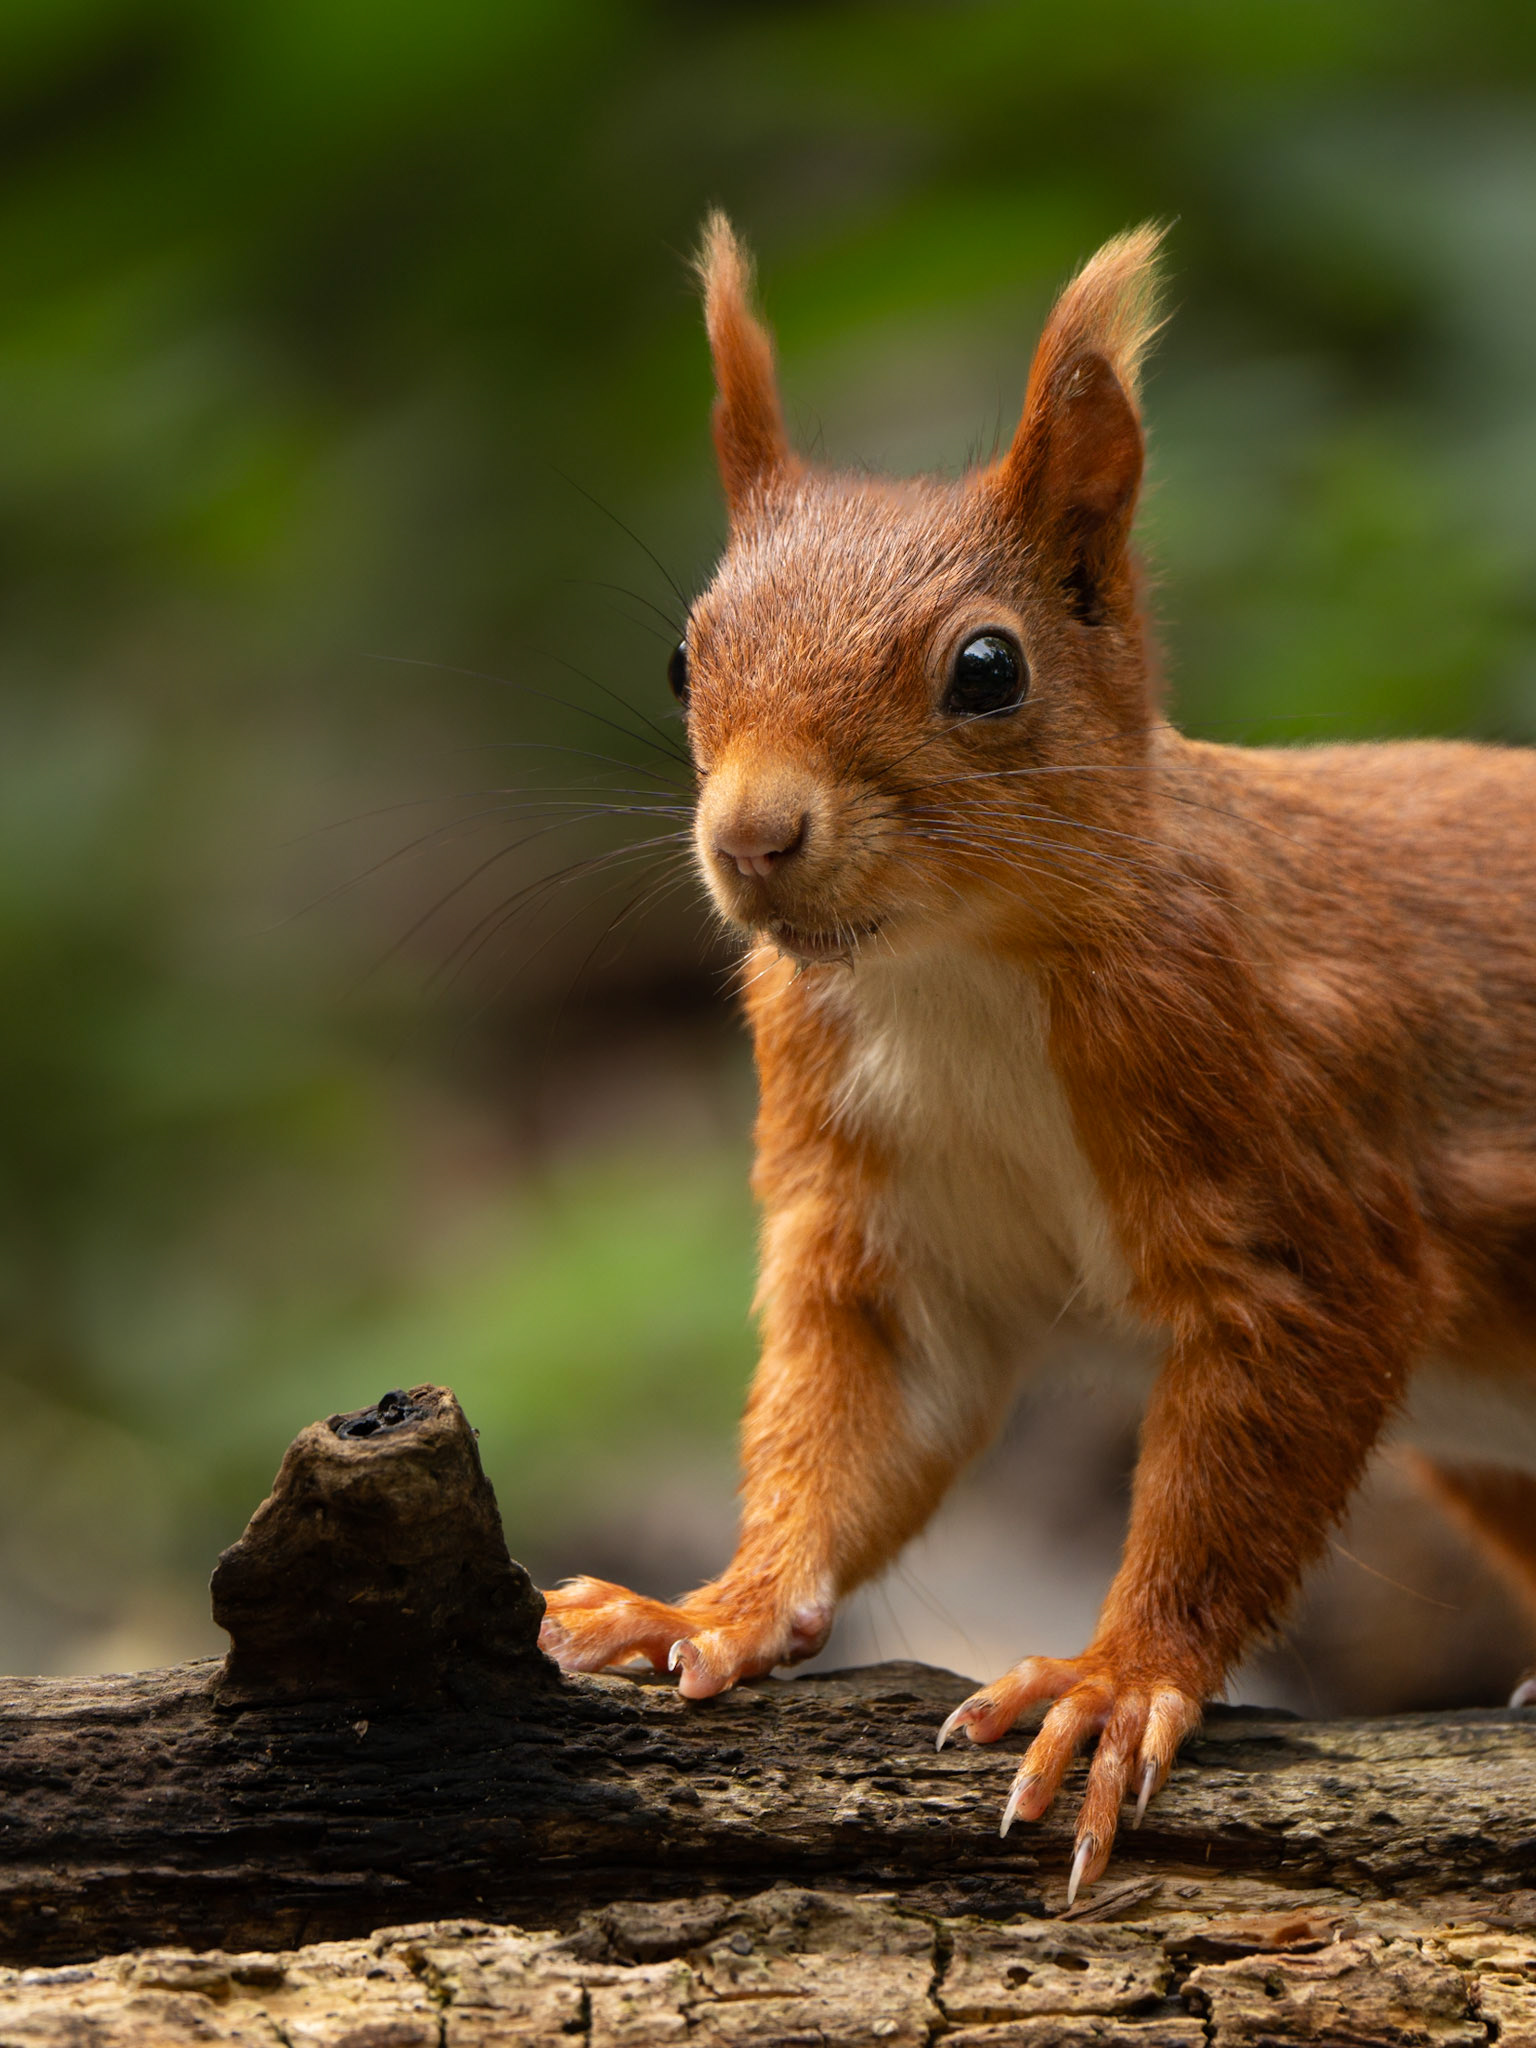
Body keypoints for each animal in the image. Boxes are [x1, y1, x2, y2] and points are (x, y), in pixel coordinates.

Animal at [539, 215, 1536, 1900]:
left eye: (988, 670)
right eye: (684, 657)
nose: (753, 836)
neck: (956, 974)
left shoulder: (1280, 1146)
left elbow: (1259, 1427)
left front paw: (1113, 1680)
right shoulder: (887, 1225)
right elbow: (862, 1418)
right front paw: (713, 1608)